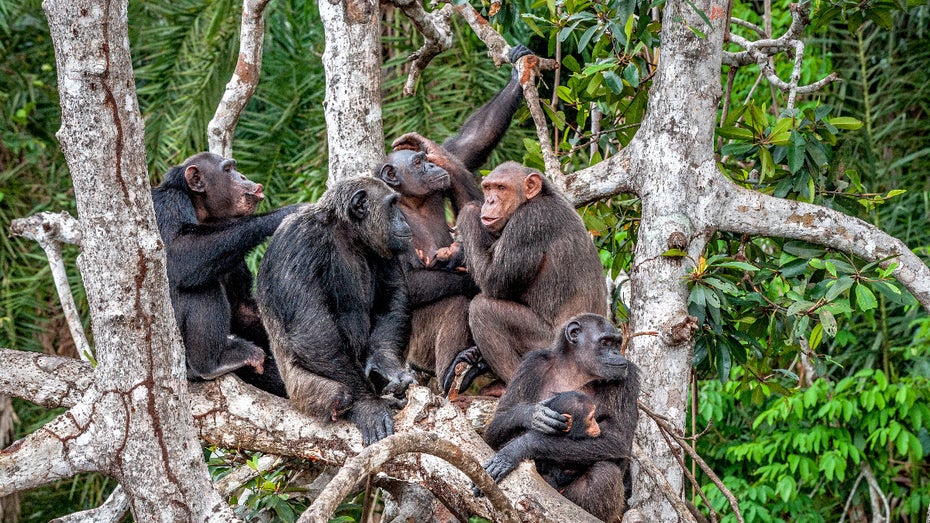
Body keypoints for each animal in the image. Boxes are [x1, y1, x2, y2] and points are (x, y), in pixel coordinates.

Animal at [152, 151, 298, 392]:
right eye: (228, 170)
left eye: (234, 168)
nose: (243, 176)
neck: (201, 210)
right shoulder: (167, 204)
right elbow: (177, 251)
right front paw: (283, 214)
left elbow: (241, 305)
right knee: (200, 286)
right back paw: (212, 363)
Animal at [254, 177, 414, 446]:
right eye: (392, 204)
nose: (403, 217)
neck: (347, 233)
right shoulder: (299, 242)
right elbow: (312, 329)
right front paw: (369, 405)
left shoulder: (382, 246)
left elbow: (392, 295)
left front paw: (386, 365)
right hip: (299, 391)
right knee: (338, 393)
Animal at [376, 46, 532, 388]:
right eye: (417, 164)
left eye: (424, 159)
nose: (430, 166)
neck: (412, 202)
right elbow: (405, 280)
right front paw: (464, 272)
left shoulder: (450, 165)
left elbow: (469, 144)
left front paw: (517, 73)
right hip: (414, 350)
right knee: (452, 301)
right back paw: (453, 368)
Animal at [450, 162, 608, 390]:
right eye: (488, 188)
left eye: (501, 188)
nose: (489, 200)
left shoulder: (528, 222)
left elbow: (493, 279)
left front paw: (470, 210)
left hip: (549, 346)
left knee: (484, 309)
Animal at [478, 314, 640, 520]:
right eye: (605, 342)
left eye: (617, 343)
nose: (617, 353)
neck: (576, 370)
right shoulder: (531, 364)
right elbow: (494, 428)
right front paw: (532, 414)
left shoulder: (628, 379)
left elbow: (616, 439)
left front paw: (518, 448)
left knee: (605, 473)